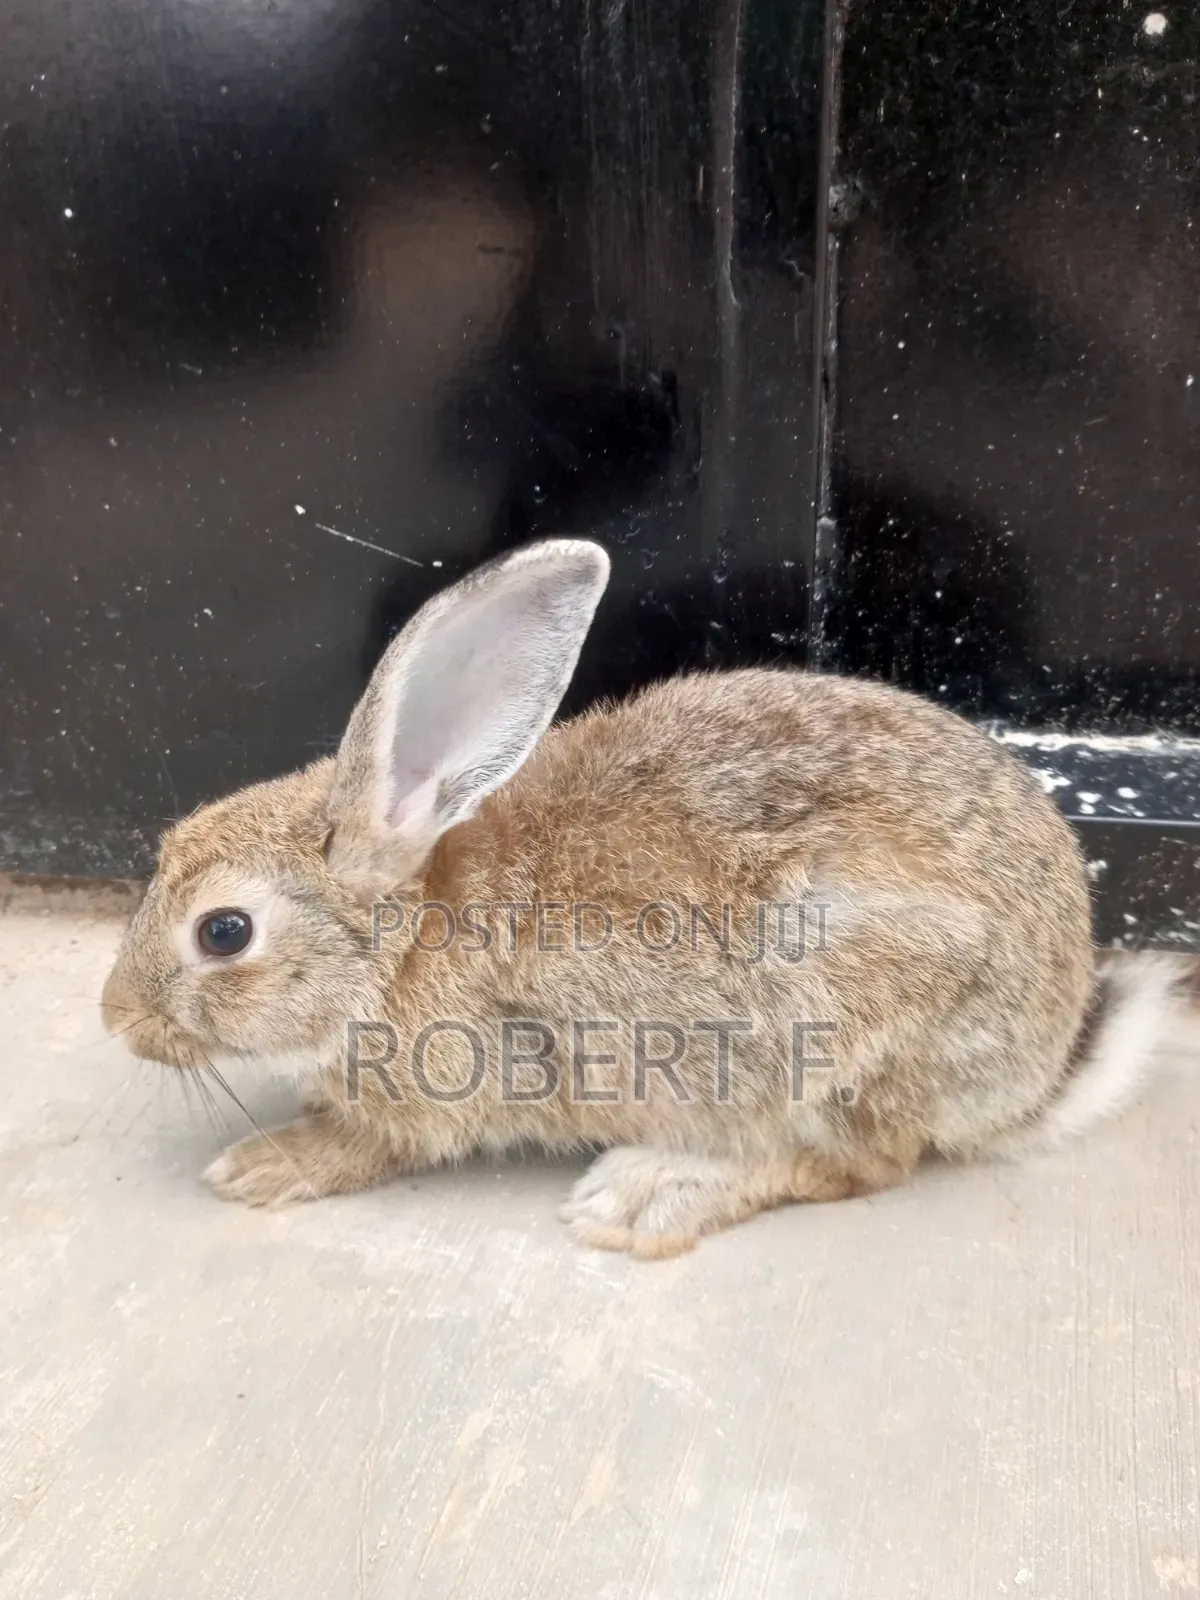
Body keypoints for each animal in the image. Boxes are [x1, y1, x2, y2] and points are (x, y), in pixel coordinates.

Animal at [101, 537, 1189, 1258]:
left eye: (225, 931)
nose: (118, 1018)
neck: (398, 941)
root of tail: (1036, 1069)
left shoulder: (445, 1088)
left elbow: (369, 1145)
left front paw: (262, 1164)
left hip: (844, 1022)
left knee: (859, 1163)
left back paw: (648, 1194)